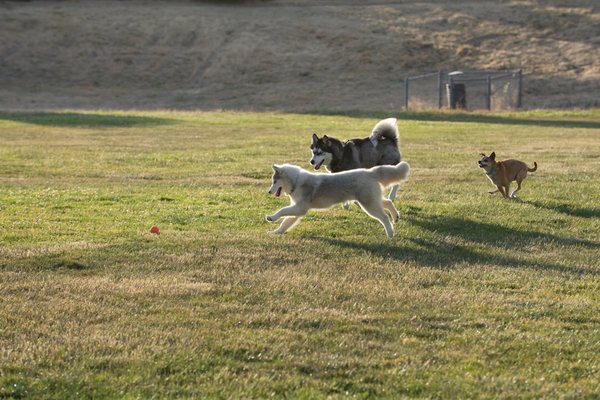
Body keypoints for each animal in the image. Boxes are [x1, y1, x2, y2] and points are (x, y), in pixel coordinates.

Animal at [266, 162, 410, 238]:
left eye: (274, 181)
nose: (269, 192)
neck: (296, 182)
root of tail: (369, 172)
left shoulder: (300, 208)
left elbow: (282, 211)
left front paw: (271, 217)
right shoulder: (297, 210)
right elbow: (285, 222)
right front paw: (276, 232)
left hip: (368, 204)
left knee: (384, 217)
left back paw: (390, 233)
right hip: (372, 200)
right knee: (388, 202)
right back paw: (395, 217)